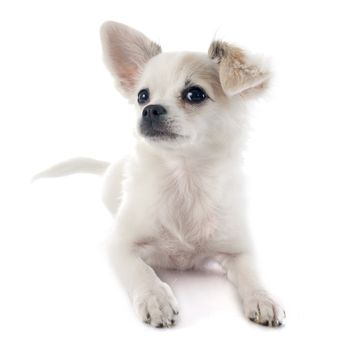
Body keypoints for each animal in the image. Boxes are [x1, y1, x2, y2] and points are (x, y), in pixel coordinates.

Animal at [34, 21, 284, 328]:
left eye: (195, 94)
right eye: (142, 96)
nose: (150, 109)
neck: (184, 178)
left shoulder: (238, 250)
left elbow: (252, 274)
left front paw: (264, 298)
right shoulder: (120, 245)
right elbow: (141, 271)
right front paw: (156, 298)